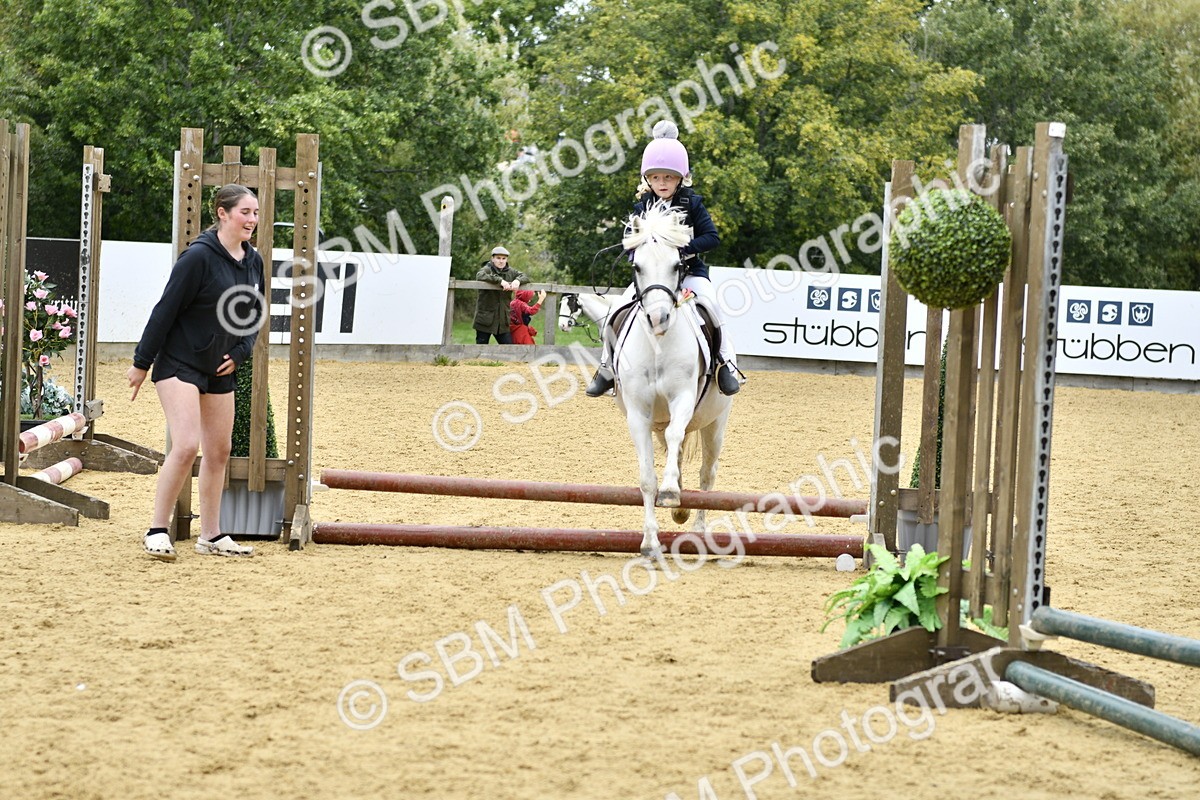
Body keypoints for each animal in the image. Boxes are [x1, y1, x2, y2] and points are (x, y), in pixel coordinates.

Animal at [613, 200, 734, 558]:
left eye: (677, 264)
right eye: (637, 266)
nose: (659, 318)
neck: (657, 344)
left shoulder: (683, 400)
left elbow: (678, 439)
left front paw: (670, 493)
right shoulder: (639, 415)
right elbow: (646, 479)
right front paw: (650, 542)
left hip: (715, 423)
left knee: (707, 474)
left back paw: (698, 529)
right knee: (674, 451)